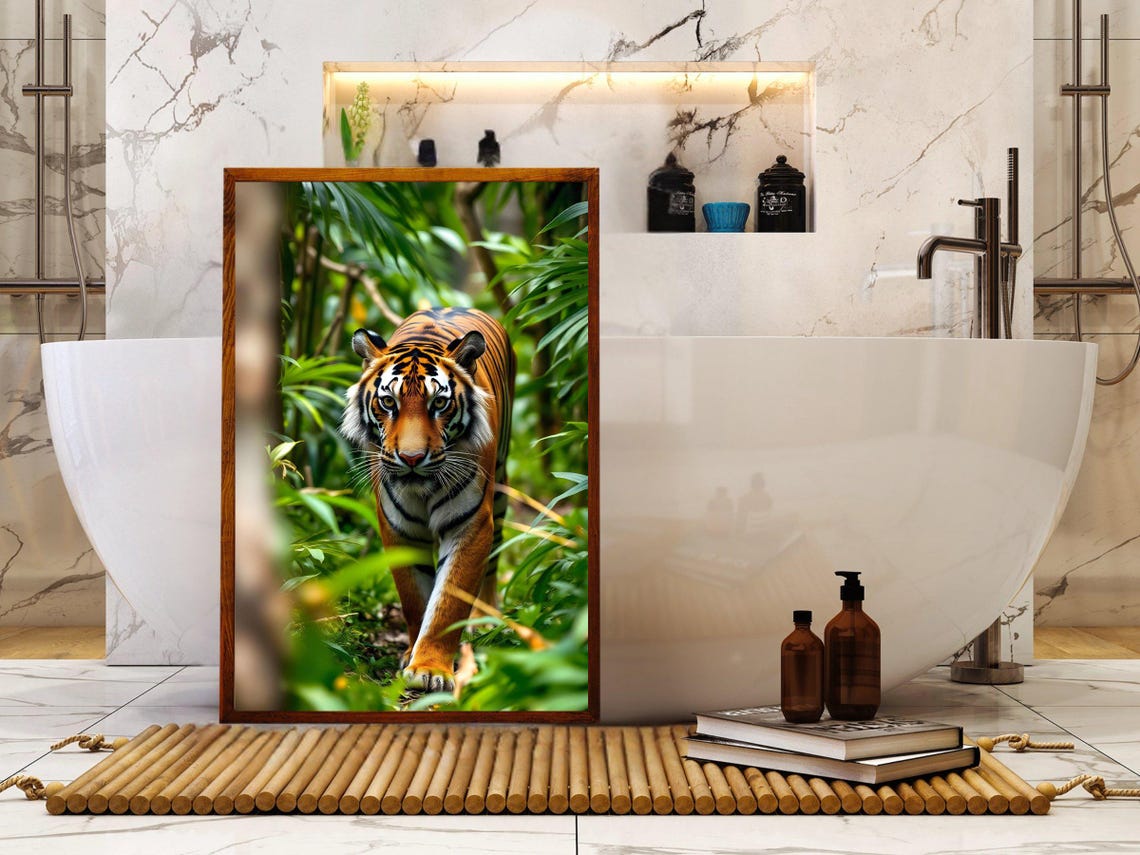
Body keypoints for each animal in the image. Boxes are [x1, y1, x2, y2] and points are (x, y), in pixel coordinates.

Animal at [341, 307, 515, 693]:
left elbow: (448, 600)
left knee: (493, 563)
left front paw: (430, 669)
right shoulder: (398, 527)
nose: (411, 458)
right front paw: (412, 656)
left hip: (499, 490)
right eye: (388, 402)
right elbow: (415, 596)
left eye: (439, 403)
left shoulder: (471, 525)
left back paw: (486, 622)